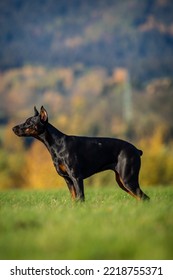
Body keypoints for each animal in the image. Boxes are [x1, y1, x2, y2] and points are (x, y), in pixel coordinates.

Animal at [12, 106, 149, 201]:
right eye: (26, 121)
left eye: (29, 123)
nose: (13, 128)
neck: (57, 144)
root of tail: (137, 150)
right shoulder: (68, 180)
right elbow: (74, 199)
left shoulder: (76, 177)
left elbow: (80, 198)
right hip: (122, 181)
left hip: (128, 179)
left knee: (144, 197)